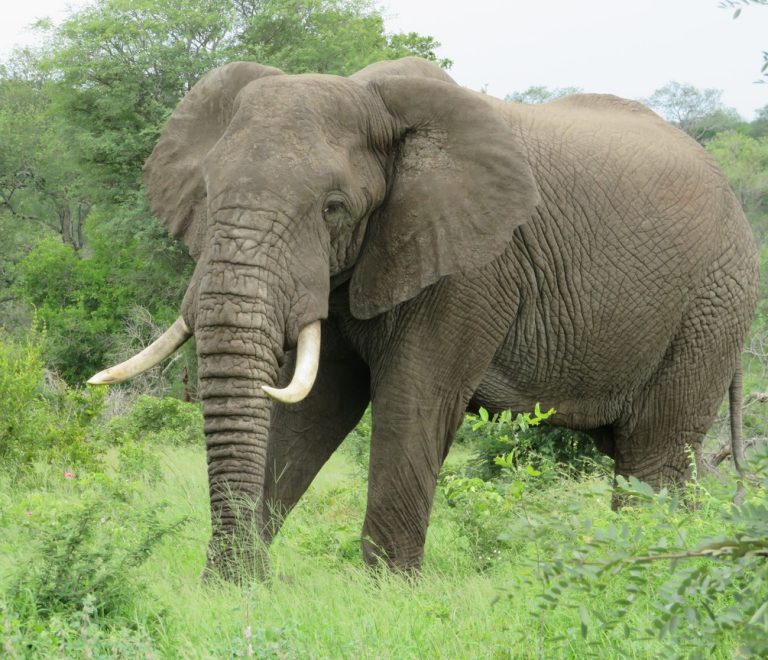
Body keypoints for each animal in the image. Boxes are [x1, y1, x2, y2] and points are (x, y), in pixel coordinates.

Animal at [89, 57, 759, 579]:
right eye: (206, 193)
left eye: (334, 207)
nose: (239, 575)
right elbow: (310, 412)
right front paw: (234, 591)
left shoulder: (470, 268)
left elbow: (413, 402)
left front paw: (381, 596)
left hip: (711, 307)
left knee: (653, 454)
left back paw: (646, 569)